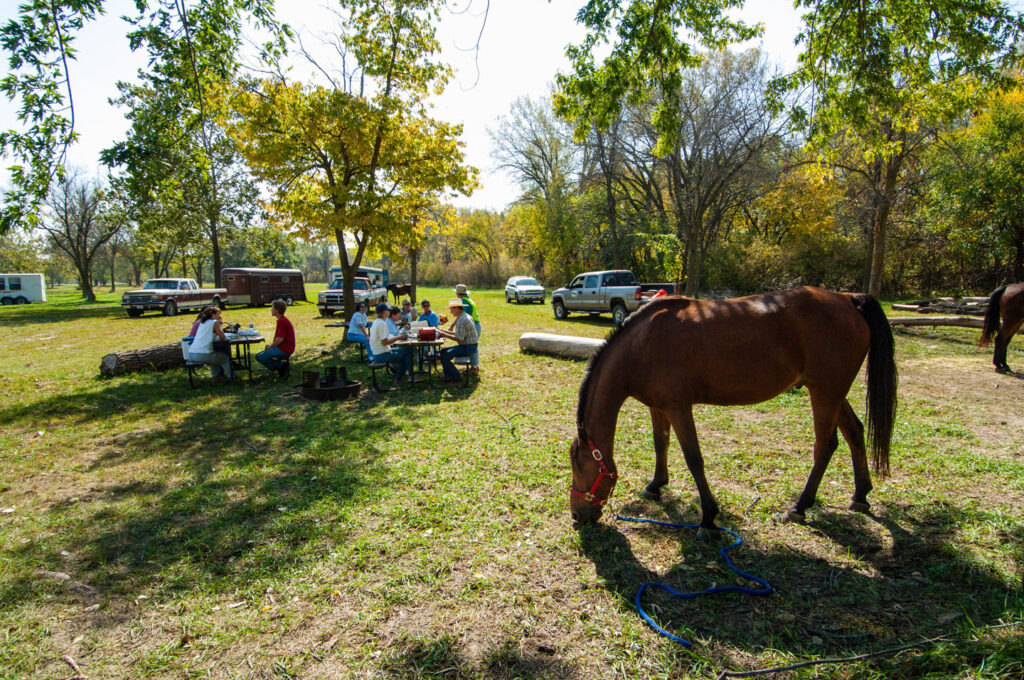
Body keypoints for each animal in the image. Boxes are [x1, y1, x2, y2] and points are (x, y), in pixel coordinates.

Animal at [569, 286, 897, 532]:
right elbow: (660, 444)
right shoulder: (658, 406)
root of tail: (848, 299)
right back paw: (860, 495)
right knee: (855, 432)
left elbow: (694, 459)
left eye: (579, 465)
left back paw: (800, 506)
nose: (576, 515)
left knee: (825, 446)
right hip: (832, 392)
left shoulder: (678, 407)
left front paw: (708, 518)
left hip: (825, 393)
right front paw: (655, 486)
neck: (641, 344)